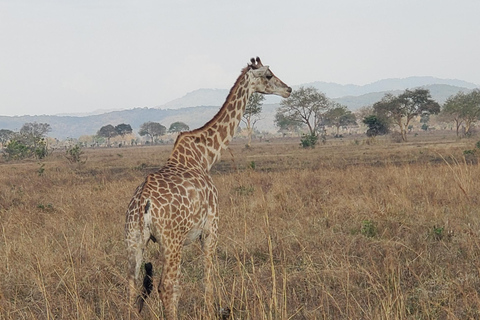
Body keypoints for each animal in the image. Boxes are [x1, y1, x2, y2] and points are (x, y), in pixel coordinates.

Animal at [124, 57, 288, 318]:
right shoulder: (211, 228)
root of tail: (142, 204)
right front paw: (211, 311)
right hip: (170, 241)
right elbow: (207, 276)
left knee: (132, 285)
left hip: (133, 239)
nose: (289, 89)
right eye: (269, 75)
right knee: (166, 285)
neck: (204, 156)